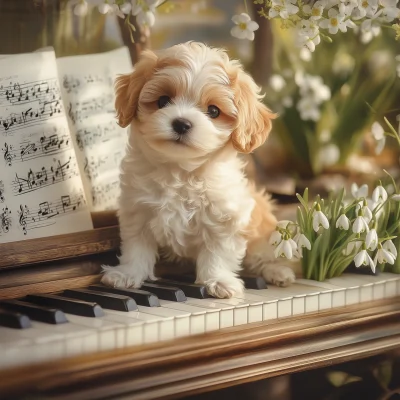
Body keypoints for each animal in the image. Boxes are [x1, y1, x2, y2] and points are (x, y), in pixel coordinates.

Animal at [101, 42, 296, 298]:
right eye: (163, 101)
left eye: (213, 111)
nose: (181, 123)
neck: (181, 171)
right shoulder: (137, 210)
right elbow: (137, 247)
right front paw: (127, 274)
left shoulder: (226, 218)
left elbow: (218, 252)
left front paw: (218, 281)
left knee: (263, 255)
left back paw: (278, 272)